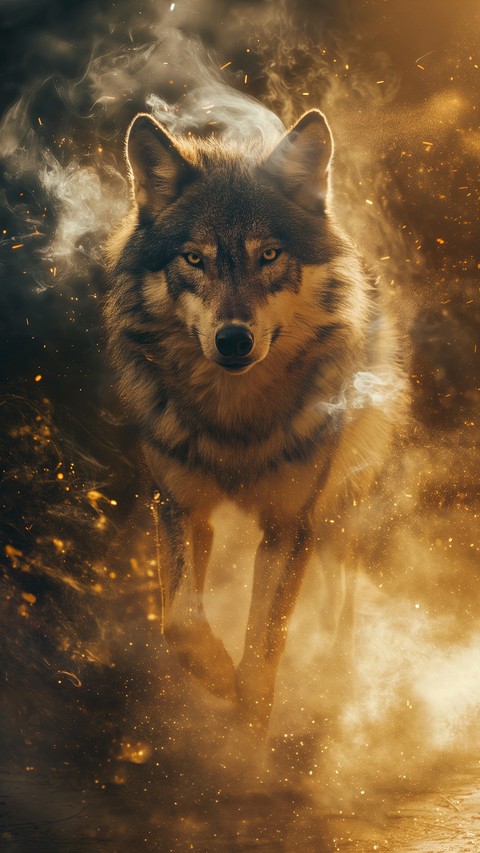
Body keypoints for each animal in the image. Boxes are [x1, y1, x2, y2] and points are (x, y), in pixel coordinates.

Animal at [104, 105, 406, 734]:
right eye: (194, 258)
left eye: (268, 255)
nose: (234, 340)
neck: (235, 423)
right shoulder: (180, 507)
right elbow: (180, 620)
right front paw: (216, 674)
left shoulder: (290, 525)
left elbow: (264, 655)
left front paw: (248, 729)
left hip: (337, 507)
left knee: (343, 596)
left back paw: (336, 676)